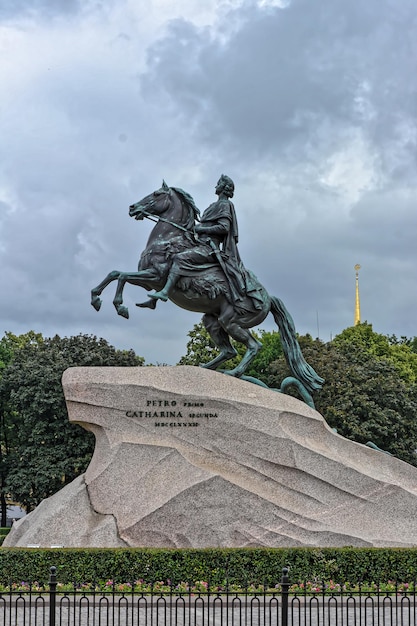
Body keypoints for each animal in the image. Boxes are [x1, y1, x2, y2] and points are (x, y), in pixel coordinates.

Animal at [92, 180, 324, 394]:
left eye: (157, 194)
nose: (132, 208)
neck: (169, 239)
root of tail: (269, 298)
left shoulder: (155, 276)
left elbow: (123, 276)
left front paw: (122, 306)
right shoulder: (146, 280)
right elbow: (115, 273)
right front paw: (97, 299)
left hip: (231, 321)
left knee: (253, 346)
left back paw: (233, 372)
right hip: (212, 320)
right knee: (229, 351)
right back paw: (205, 368)